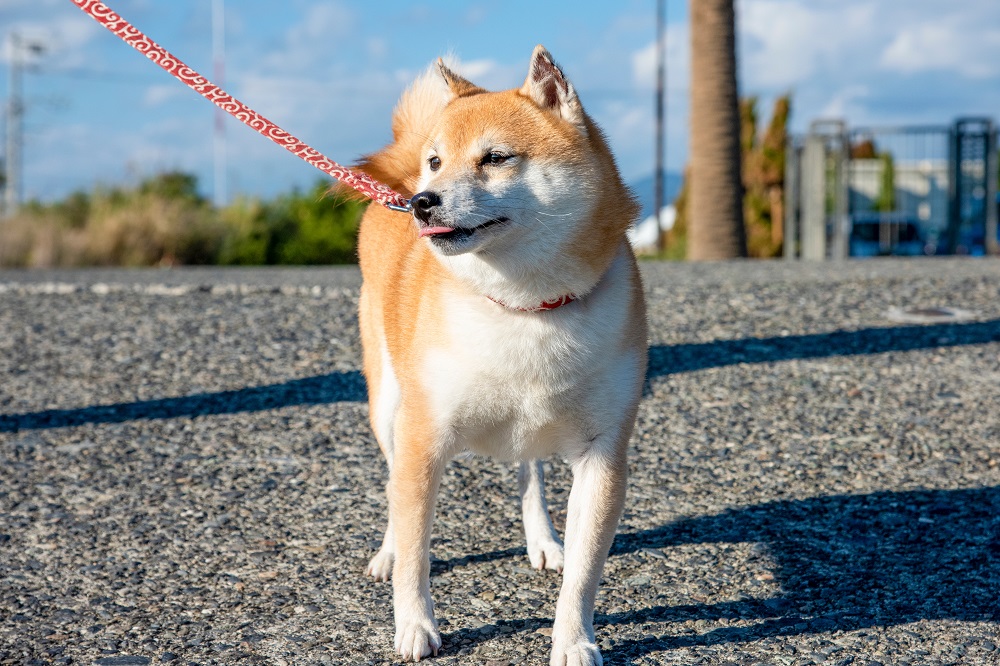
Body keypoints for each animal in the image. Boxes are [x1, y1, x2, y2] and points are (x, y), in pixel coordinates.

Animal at [356, 44, 644, 660]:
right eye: (437, 161)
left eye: (494, 158)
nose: (421, 202)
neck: (524, 307)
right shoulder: (423, 437)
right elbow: (415, 551)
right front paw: (414, 626)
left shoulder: (603, 454)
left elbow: (584, 573)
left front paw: (573, 640)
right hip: (388, 405)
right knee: (393, 485)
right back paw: (387, 550)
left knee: (528, 471)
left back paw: (544, 539)